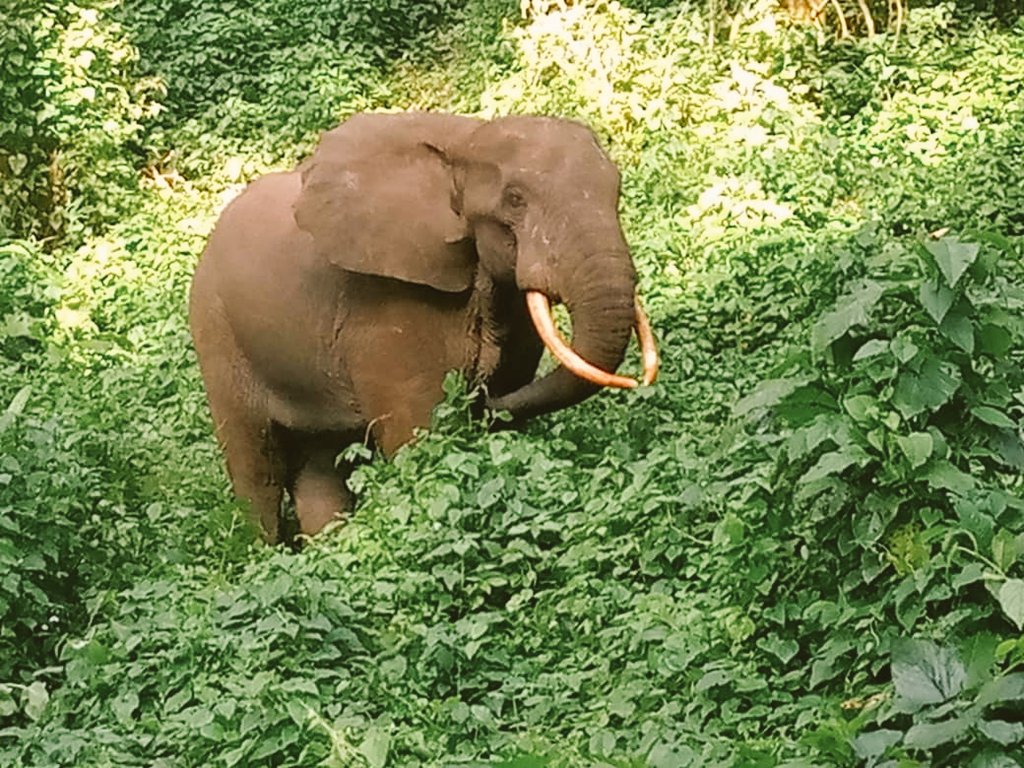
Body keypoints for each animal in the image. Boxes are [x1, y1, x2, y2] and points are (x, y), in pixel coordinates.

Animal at [189, 112, 658, 544]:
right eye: (515, 199)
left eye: (616, 189)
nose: (480, 403)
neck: (467, 140)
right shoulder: (385, 313)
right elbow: (419, 435)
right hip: (216, 332)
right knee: (257, 469)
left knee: (321, 465)